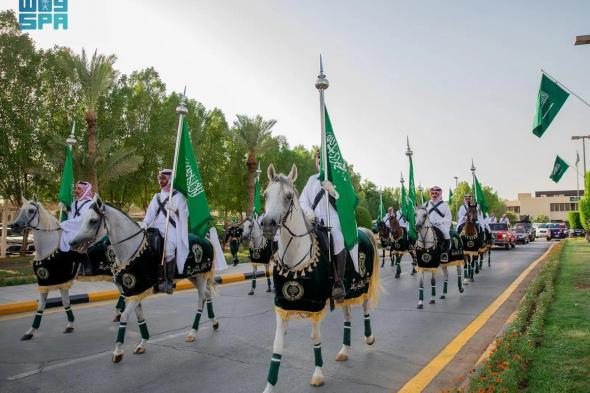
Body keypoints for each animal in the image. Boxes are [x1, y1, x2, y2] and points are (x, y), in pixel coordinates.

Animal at [71, 194, 220, 362]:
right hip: (193, 276)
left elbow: (124, 317)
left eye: (93, 220)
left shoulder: (137, 289)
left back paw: (193, 332)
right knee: (207, 294)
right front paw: (142, 343)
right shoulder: (134, 291)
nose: (72, 243)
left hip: (200, 276)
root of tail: (206, 240)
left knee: (201, 300)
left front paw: (118, 351)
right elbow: (139, 317)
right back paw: (214, 322)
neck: (131, 249)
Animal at [262, 165, 382, 392]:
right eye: (265, 194)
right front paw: (269, 387)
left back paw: (370, 337)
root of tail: (363, 231)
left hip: (363, 285)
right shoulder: (282, 305)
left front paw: (318, 374)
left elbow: (315, 338)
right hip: (345, 292)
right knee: (347, 316)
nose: (267, 224)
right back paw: (344, 350)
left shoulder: (315, 305)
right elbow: (277, 345)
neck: (296, 258)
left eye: (288, 196)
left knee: (365, 307)